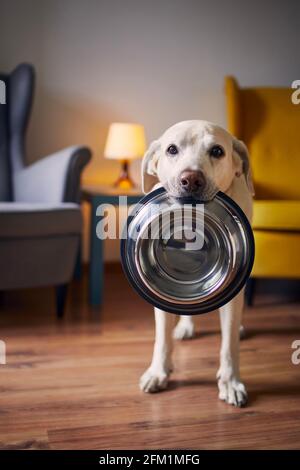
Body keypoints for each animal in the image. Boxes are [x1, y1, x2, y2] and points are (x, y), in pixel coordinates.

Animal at [138, 120, 253, 408]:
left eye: (217, 151)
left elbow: (229, 344)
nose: (191, 179)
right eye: (171, 149)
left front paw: (230, 382)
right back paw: (186, 327)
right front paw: (158, 372)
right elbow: (162, 338)